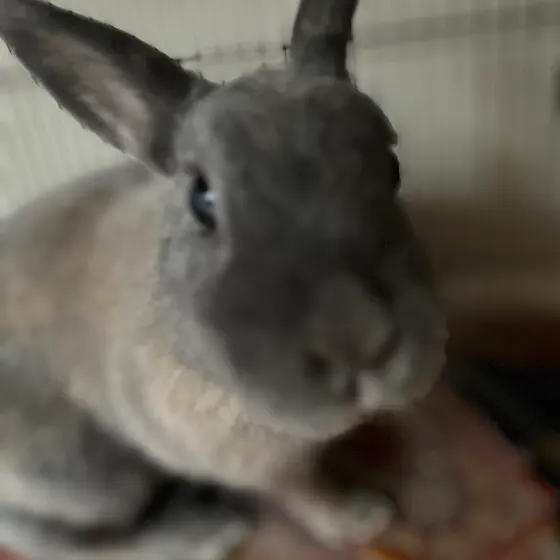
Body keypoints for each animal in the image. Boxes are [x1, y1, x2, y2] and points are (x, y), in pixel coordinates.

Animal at [0, 0, 448, 558]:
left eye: (391, 165)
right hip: (94, 478)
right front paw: (361, 518)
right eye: (201, 198)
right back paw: (207, 532)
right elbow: (303, 490)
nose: (362, 341)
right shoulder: (256, 464)